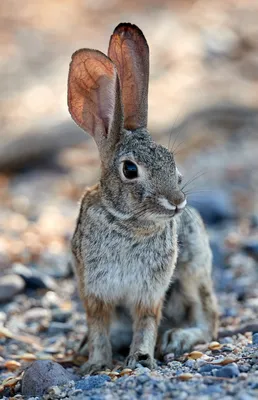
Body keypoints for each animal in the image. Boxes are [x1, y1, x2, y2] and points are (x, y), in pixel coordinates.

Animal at [68, 21, 218, 374]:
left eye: (171, 161)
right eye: (130, 169)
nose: (177, 202)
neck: (128, 224)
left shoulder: (149, 291)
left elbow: (147, 322)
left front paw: (141, 359)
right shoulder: (93, 290)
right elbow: (98, 327)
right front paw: (95, 364)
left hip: (193, 272)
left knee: (207, 320)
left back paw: (177, 338)